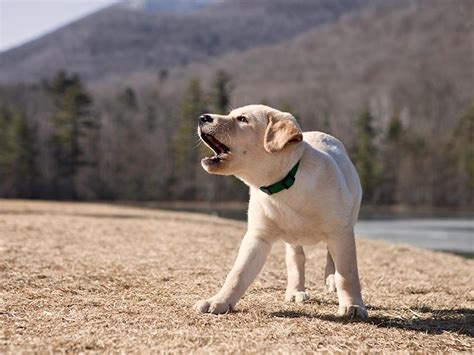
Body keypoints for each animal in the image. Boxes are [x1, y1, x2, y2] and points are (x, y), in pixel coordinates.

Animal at [193, 105, 366, 320]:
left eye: (242, 119)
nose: (202, 117)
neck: (284, 184)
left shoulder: (340, 232)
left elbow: (347, 273)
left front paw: (353, 305)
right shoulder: (258, 236)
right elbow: (238, 273)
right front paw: (219, 301)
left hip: (348, 217)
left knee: (331, 255)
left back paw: (330, 279)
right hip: (293, 239)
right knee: (296, 258)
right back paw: (295, 291)